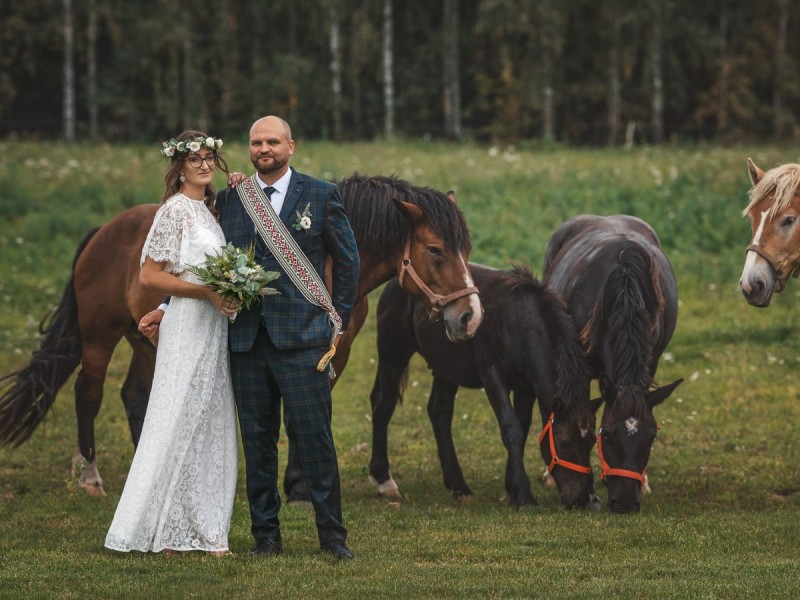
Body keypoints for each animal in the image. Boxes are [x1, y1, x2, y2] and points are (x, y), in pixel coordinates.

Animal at [0, 174, 482, 497]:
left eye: (466, 249)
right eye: (435, 250)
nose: (470, 317)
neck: (328, 259)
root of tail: (103, 231)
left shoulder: (334, 351)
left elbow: (311, 410)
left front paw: (302, 482)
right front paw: (298, 484)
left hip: (146, 341)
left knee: (134, 395)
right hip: (99, 338)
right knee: (88, 393)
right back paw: (91, 477)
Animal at [368, 263, 599, 509]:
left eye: (593, 441)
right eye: (564, 442)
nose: (585, 499)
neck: (518, 322)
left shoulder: (525, 387)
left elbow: (523, 426)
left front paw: (511, 488)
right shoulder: (492, 375)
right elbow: (511, 427)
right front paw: (523, 494)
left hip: (446, 368)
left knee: (439, 411)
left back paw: (458, 484)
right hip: (394, 352)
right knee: (383, 405)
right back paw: (384, 479)